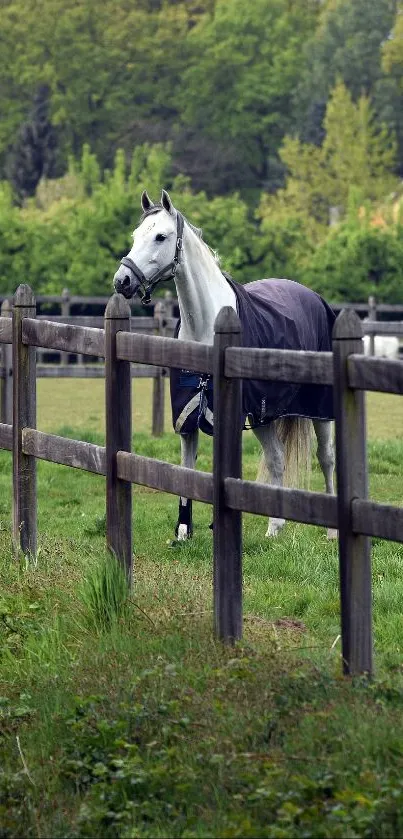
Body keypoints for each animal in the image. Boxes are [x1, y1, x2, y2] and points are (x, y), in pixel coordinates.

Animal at [113, 189, 338, 540]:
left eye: (161, 236)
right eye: (137, 235)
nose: (122, 281)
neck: (206, 326)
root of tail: (313, 297)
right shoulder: (187, 417)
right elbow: (186, 469)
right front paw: (183, 531)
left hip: (319, 409)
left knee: (325, 458)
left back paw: (331, 533)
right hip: (263, 415)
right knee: (276, 458)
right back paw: (274, 529)